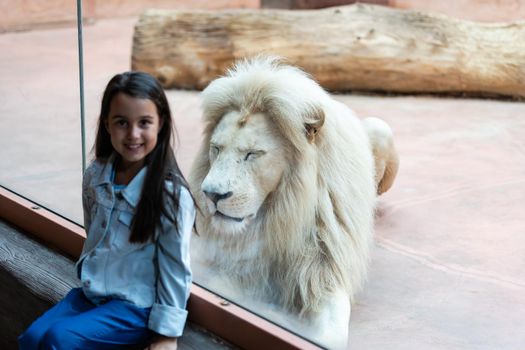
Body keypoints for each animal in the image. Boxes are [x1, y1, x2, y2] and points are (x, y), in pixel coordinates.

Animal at [188, 56, 398, 348]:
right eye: (216, 148)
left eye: (253, 154)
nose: (211, 194)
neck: (282, 214)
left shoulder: (324, 269)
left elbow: (331, 334)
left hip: (381, 129)